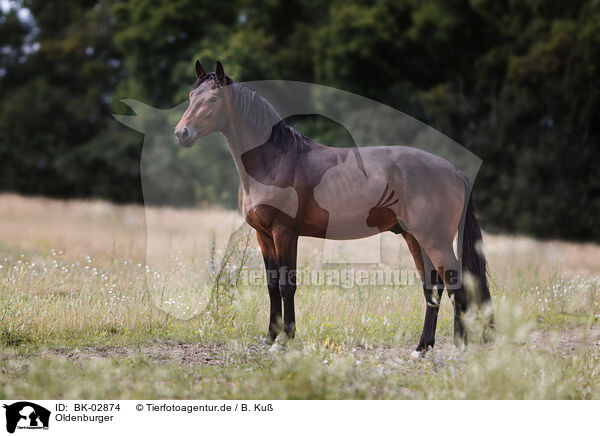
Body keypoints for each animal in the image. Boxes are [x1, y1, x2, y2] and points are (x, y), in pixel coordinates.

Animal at [173, 61, 492, 356]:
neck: (275, 161)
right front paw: (269, 339)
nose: (181, 133)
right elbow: (271, 285)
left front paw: (284, 340)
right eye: (191, 95)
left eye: (213, 99)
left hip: (435, 240)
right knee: (432, 287)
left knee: (455, 284)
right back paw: (422, 348)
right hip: (414, 238)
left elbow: (287, 285)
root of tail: (453, 171)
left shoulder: (284, 232)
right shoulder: (263, 235)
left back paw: (459, 348)